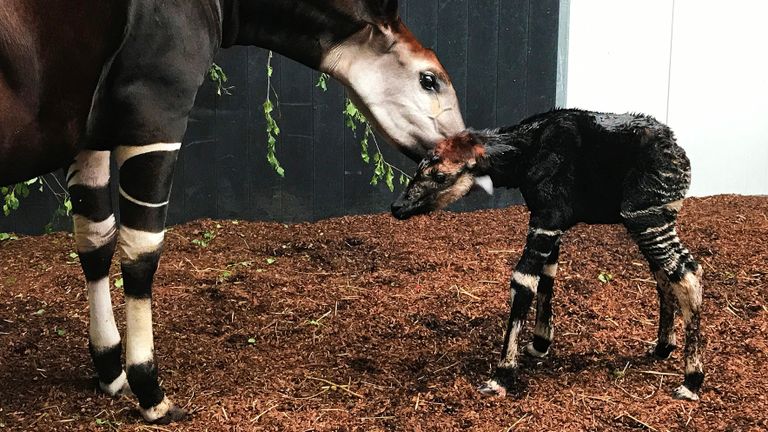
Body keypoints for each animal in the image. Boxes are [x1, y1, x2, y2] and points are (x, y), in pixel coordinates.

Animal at [392, 109, 704, 402]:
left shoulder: (546, 218)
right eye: (418, 169)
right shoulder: (552, 225)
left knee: (687, 273)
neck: (526, 150)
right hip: (650, 220)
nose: (397, 207)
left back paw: (691, 382)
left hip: (645, 216)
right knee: (664, 275)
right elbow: (546, 277)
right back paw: (663, 347)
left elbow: (523, 281)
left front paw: (501, 375)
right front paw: (540, 343)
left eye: (439, 176)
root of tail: (678, 152)